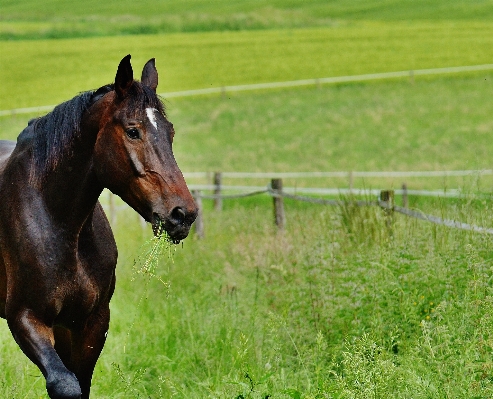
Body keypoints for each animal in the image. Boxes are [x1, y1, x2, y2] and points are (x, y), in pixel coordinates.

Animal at [0, 54, 196, 398]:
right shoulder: (25, 317)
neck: (59, 223)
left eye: (170, 131)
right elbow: (64, 384)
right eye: (133, 131)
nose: (182, 214)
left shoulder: (89, 322)